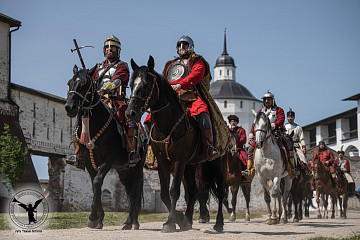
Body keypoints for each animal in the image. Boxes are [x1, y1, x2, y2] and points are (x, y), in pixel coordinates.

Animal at [65, 65, 144, 229]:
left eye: (84, 84)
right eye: (69, 83)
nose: (69, 107)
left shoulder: (108, 159)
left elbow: (97, 181)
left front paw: (93, 217)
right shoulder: (88, 159)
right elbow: (95, 183)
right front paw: (97, 218)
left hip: (137, 167)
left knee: (135, 190)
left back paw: (132, 222)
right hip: (123, 170)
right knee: (129, 191)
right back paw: (131, 220)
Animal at [125, 55, 224, 232]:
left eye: (146, 84)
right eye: (131, 84)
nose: (130, 113)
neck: (168, 124)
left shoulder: (179, 159)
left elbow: (173, 191)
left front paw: (170, 222)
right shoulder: (163, 161)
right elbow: (165, 193)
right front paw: (180, 220)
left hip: (215, 163)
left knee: (220, 192)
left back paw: (219, 223)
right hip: (191, 165)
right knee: (192, 191)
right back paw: (189, 221)